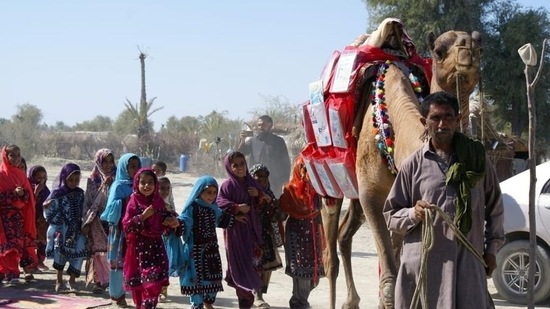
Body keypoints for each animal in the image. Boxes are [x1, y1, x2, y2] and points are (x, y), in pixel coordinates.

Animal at [320, 25, 484, 308]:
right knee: (330, 254)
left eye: (481, 44)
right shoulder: (371, 194)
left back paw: (351, 300)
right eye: (438, 51)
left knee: (344, 234)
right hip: (328, 179)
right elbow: (389, 281)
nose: (469, 47)